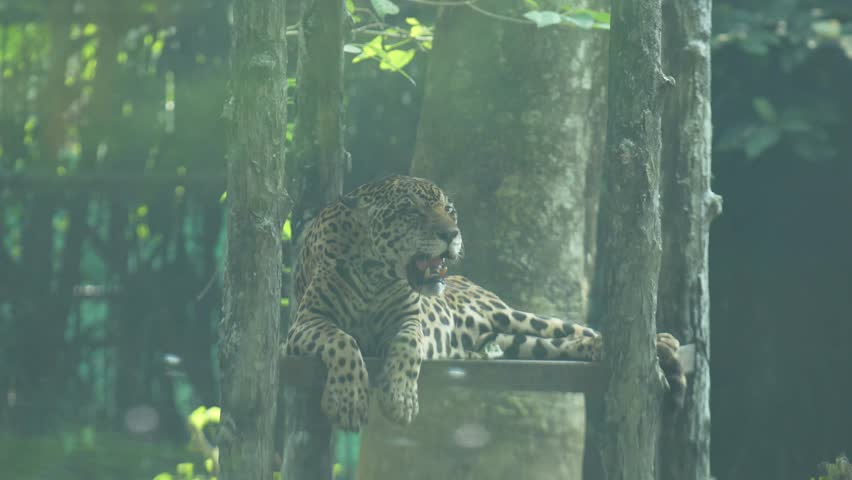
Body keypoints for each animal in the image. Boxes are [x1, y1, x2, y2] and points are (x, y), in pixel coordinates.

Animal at [283, 175, 686, 431]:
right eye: (411, 212)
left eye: (449, 210)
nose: (452, 234)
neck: (376, 273)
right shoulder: (305, 323)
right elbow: (343, 342)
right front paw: (348, 400)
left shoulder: (408, 322)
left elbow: (407, 346)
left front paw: (399, 399)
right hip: (516, 341)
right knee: (558, 343)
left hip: (512, 316)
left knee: (571, 329)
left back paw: (656, 342)